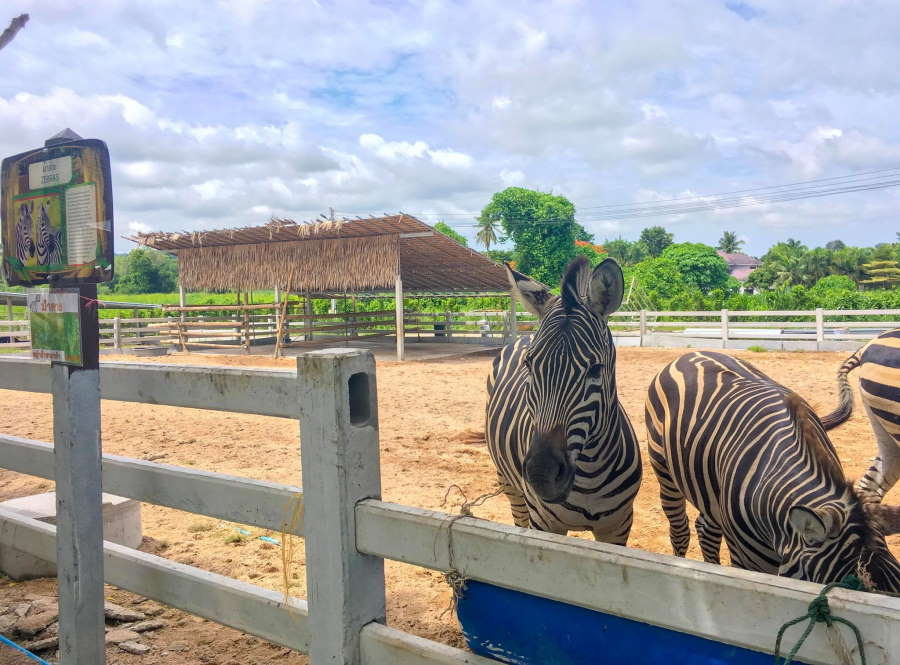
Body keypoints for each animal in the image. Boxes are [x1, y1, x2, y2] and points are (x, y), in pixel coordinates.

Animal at [486, 256, 640, 544]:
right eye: (529, 365)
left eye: (595, 369)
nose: (541, 474)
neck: (590, 473)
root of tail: (523, 335)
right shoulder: (543, 523)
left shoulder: (618, 525)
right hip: (509, 485)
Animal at [644, 350, 900, 588]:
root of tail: (691, 353)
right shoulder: (749, 560)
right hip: (664, 469)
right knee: (679, 530)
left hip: (709, 486)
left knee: (706, 528)